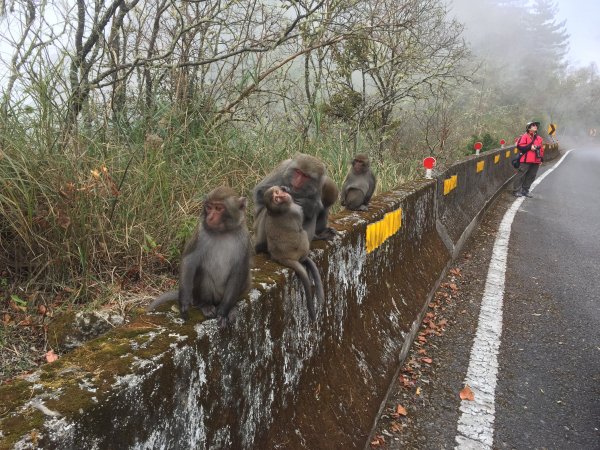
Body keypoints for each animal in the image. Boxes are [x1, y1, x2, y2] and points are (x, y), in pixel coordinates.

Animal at [146, 186, 252, 326]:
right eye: (209, 207)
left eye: (219, 208)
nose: (210, 217)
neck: (223, 232)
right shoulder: (201, 233)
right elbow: (189, 260)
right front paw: (184, 302)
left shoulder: (244, 239)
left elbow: (239, 272)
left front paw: (224, 311)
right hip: (200, 294)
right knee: (204, 273)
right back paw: (205, 305)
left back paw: (231, 308)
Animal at [264, 185, 326, 320]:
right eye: (277, 198)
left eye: (278, 193)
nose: (283, 194)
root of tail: (280, 257)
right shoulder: (296, 211)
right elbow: (301, 225)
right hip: (299, 249)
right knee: (302, 234)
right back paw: (304, 258)